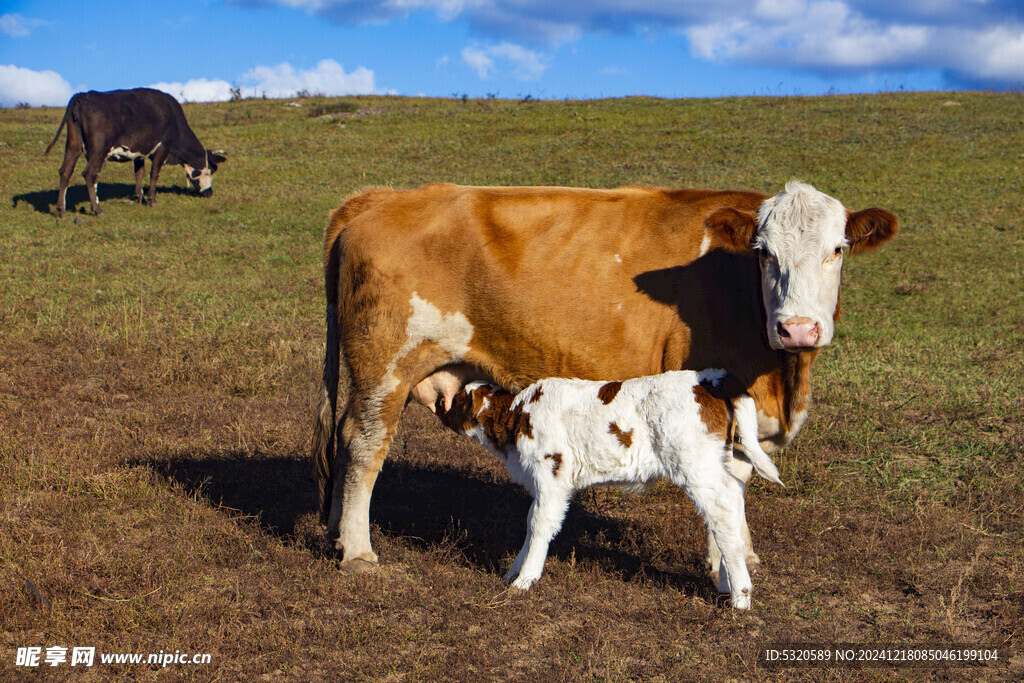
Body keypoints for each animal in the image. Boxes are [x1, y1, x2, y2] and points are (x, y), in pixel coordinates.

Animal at [45, 87, 225, 216]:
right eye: (209, 171)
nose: (209, 193)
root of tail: (84, 95)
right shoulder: (163, 147)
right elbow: (154, 174)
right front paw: (151, 200)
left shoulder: (139, 152)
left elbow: (139, 173)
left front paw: (139, 197)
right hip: (99, 149)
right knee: (90, 174)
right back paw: (97, 210)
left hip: (73, 145)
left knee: (65, 172)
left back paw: (61, 210)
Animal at [311, 180, 897, 573]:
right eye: (764, 254)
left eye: (838, 249)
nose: (797, 328)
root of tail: (380, 198)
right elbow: (728, 478)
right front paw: (724, 560)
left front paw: (743, 553)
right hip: (385, 365)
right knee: (364, 444)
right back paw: (358, 552)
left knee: (344, 437)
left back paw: (337, 536)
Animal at [440, 368, 782, 610]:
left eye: (458, 400)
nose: (439, 408)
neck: (517, 418)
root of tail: (711, 378)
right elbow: (530, 522)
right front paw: (513, 571)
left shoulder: (551, 475)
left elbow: (539, 524)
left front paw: (524, 580)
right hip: (717, 465)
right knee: (731, 507)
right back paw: (726, 585)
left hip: (697, 467)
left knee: (723, 519)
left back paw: (740, 597)